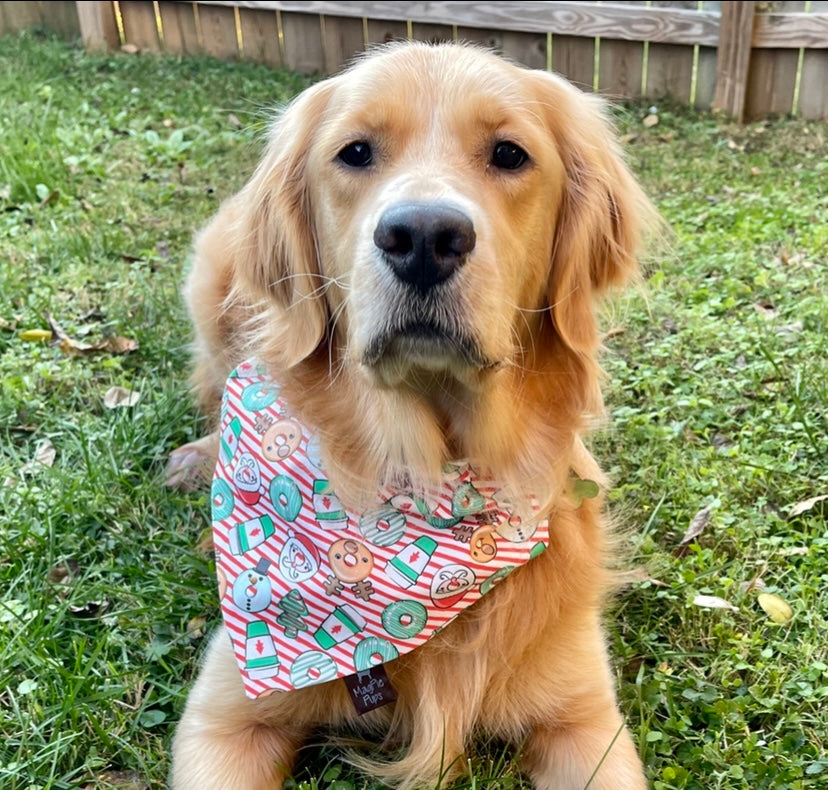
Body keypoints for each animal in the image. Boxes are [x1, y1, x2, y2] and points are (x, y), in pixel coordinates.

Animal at [170, 41, 652, 790]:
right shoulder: (225, 718)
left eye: (510, 154)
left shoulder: (586, 722)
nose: (423, 236)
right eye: (355, 152)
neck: (429, 478)